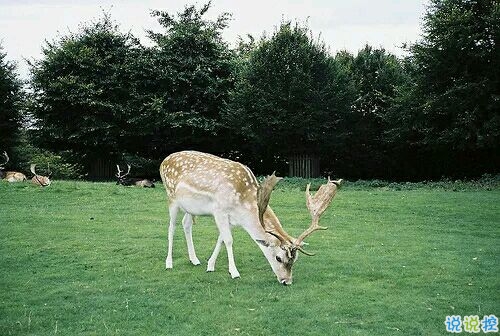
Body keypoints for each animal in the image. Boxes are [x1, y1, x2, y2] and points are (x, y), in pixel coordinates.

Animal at [158, 151, 342, 284]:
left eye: (295, 259)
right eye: (278, 257)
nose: (286, 281)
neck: (242, 205)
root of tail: (163, 162)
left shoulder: (231, 219)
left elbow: (221, 239)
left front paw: (210, 265)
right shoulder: (219, 210)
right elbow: (229, 240)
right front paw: (234, 272)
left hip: (190, 208)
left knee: (186, 224)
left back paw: (194, 259)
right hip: (171, 197)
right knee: (171, 227)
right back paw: (169, 263)